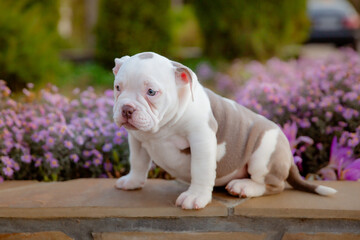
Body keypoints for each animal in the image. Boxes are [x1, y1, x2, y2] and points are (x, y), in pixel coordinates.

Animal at [112, 51, 334, 209]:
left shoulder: (201, 140)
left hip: (263, 154)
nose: (127, 109)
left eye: (151, 92)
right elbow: (138, 162)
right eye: (117, 88)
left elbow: (200, 169)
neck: (162, 127)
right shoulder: (137, 140)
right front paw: (133, 181)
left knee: (273, 185)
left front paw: (195, 196)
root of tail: (288, 155)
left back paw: (244, 186)